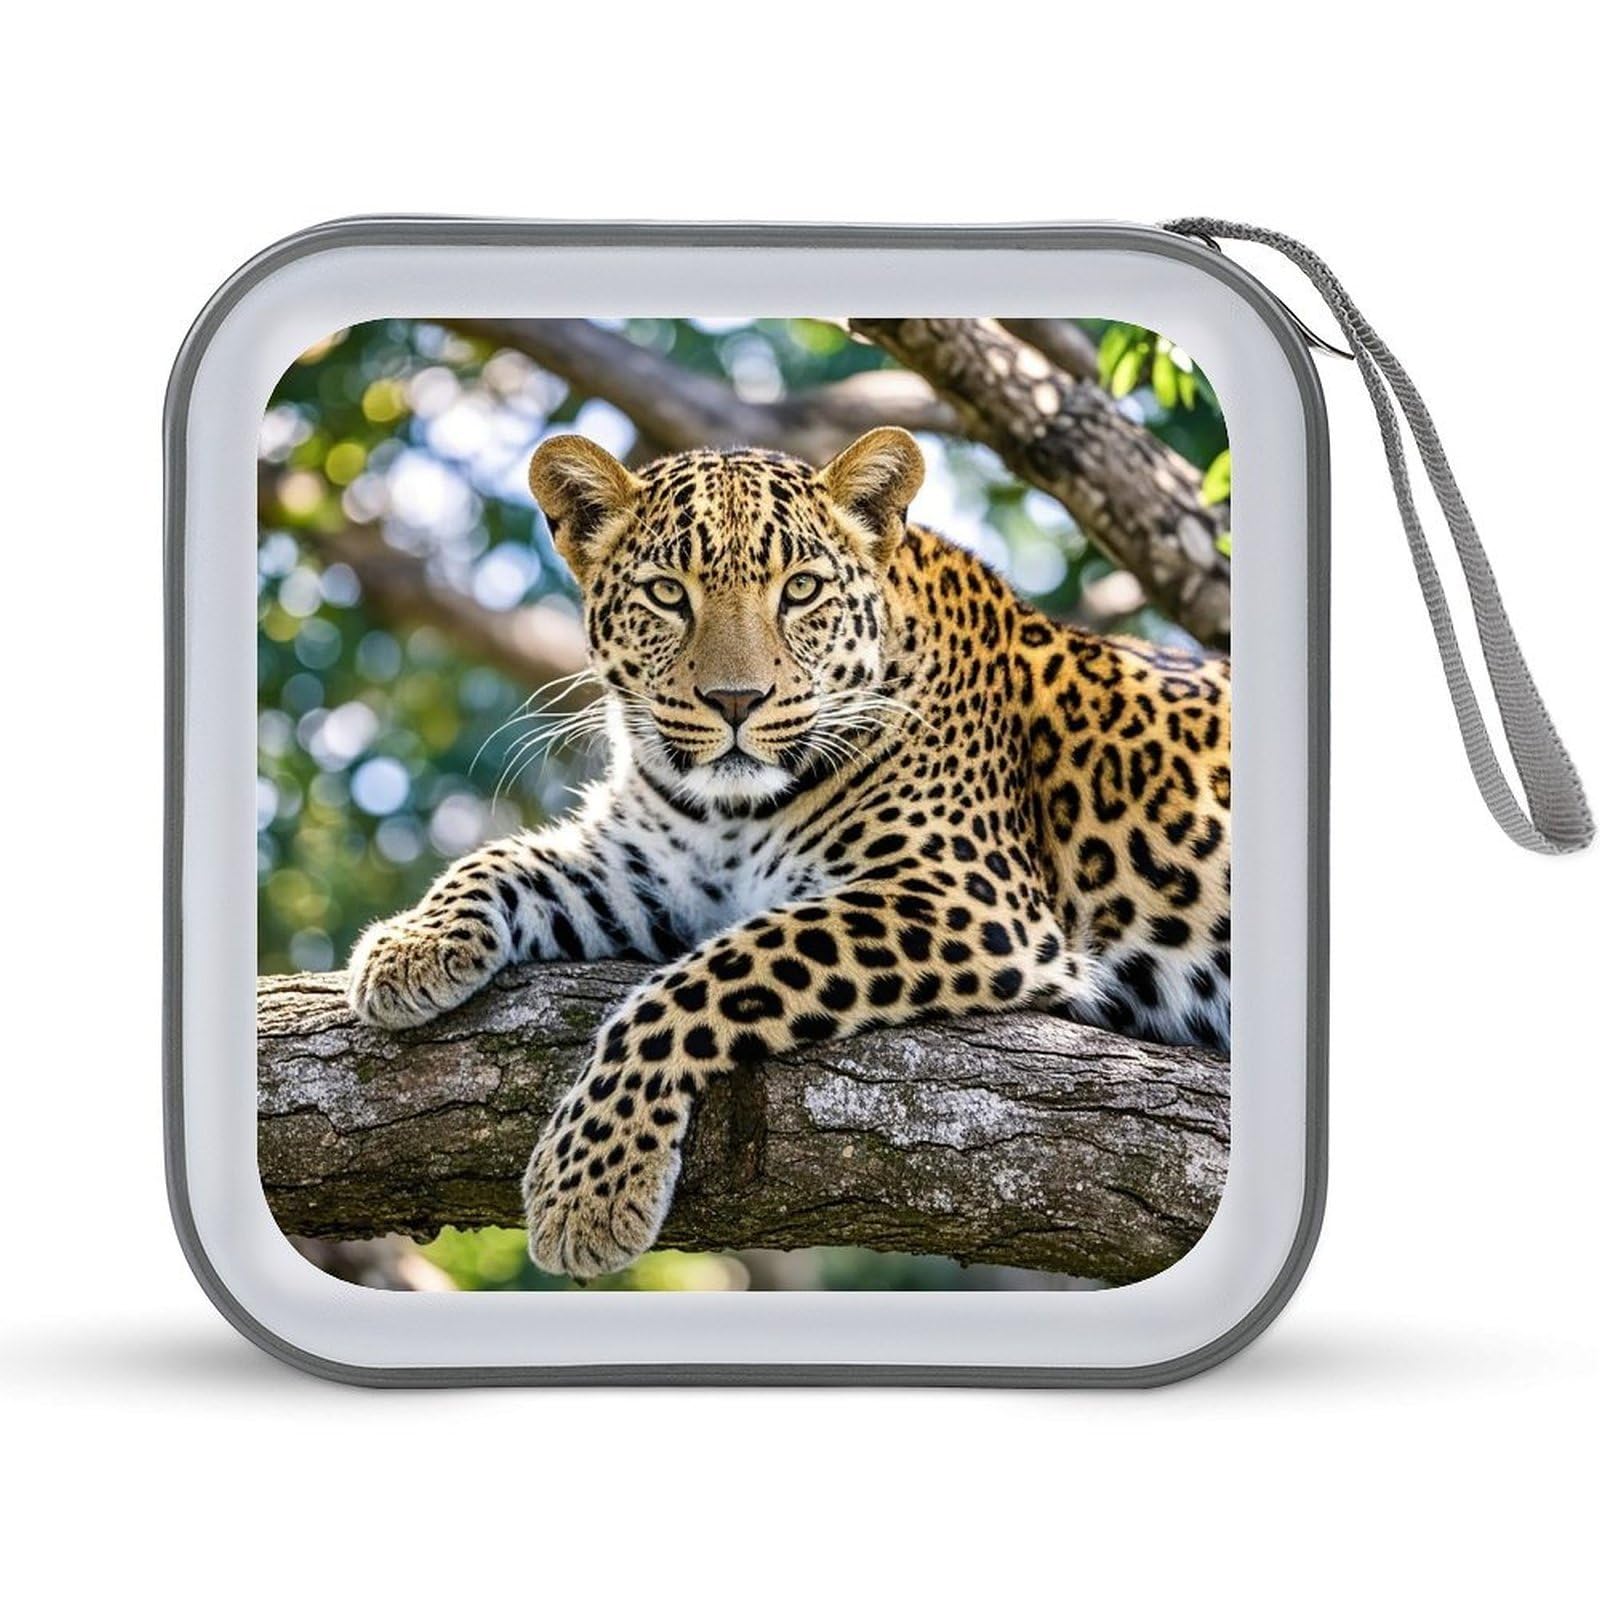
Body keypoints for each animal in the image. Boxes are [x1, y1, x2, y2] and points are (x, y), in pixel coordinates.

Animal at [346, 426, 1231, 1279]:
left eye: (800, 590)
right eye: (668, 594)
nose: (735, 702)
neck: (729, 810)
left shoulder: (965, 899)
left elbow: (700, 982)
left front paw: (590, 1187)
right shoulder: (648, 876)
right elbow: (500, 860)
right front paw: (407, 947)